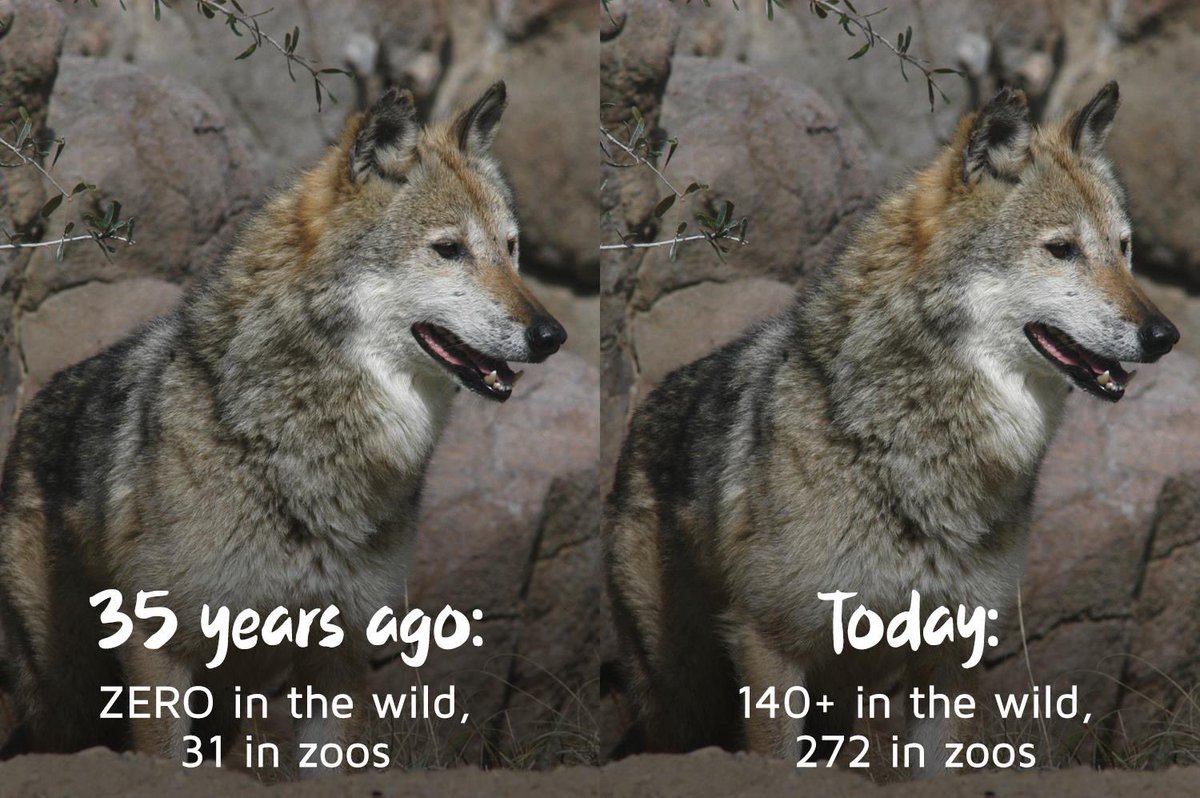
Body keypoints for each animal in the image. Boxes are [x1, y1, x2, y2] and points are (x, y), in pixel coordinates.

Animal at [0, 81, 565, 765]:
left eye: (510, 248)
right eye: (449, 250)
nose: (552, 336)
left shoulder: (340, 652)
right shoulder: (161, 645)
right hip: (69, 697)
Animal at [604, 82, 1177, 775]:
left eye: (1124, 248)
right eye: (1062, 249)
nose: (1165, 335)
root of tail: (644, 410)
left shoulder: (948, 660)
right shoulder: (772, 643)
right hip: (683, 693)